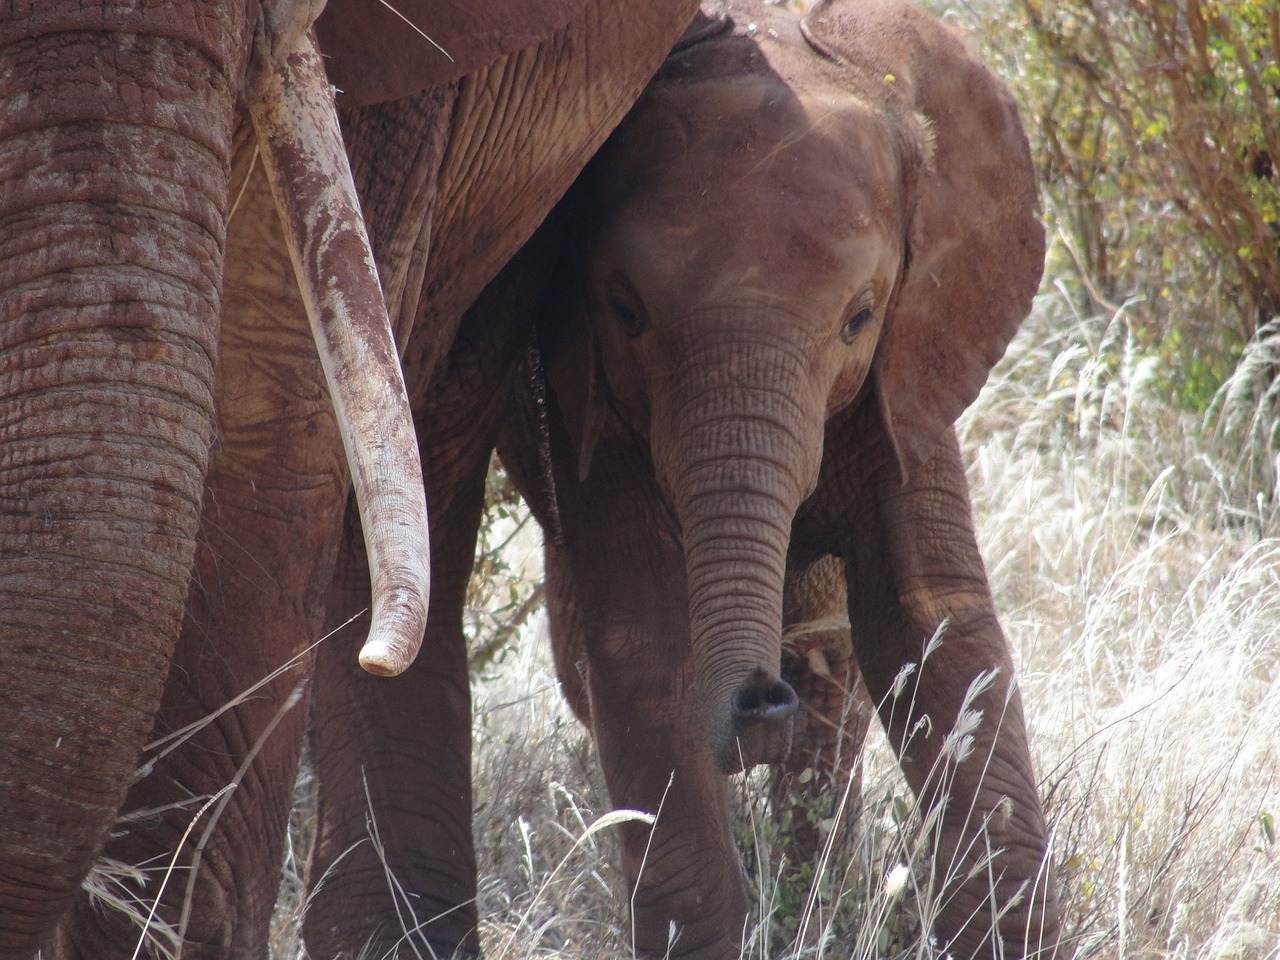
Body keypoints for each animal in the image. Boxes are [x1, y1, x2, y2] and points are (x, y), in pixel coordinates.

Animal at [488, 0, 1059, 957]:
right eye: (625, 312)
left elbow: (936, 629)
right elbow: (642, 644)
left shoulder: (912, 372)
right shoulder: (586, 398)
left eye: (860, 318)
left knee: (837, 693)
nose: (760, 697)